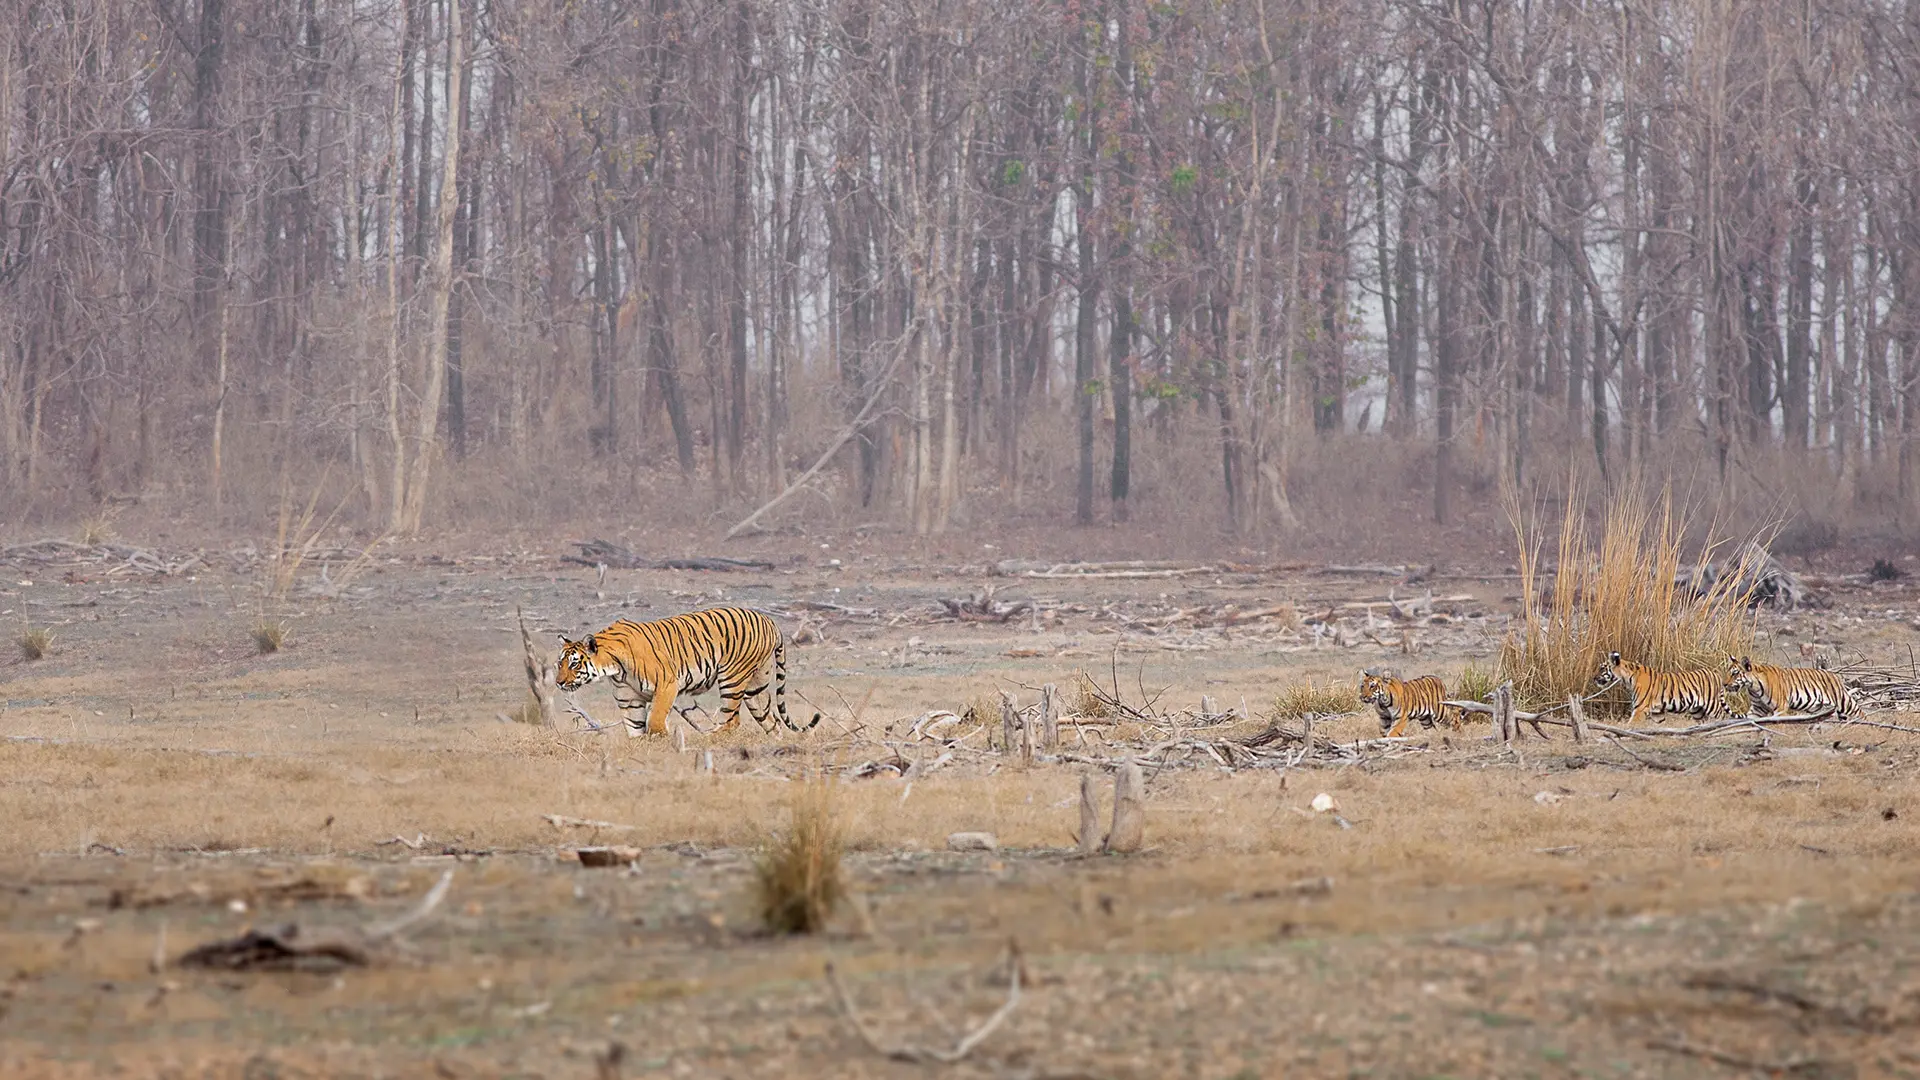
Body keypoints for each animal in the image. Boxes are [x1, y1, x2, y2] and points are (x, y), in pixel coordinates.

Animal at [555, 607, 821, 737]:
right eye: (560, 664)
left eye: (574, 664)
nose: (558, 683)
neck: (614, 668)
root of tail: (769, 620)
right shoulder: (628, 700)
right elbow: (634, 729)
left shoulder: (666, 684)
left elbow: (655, 721)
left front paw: (664, 743)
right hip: (756, 687)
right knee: (772, 720)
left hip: (731, 679)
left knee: (731, 720)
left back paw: (707, 738)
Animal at [1592, 651, 1726, 725]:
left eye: (1602, 668)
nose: (1593, 678)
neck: (1627, 678)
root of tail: (1716, 673)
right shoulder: (1657, 713)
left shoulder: (1640, 709)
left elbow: (1630, 725)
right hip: (1697, 710)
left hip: (1712, 705)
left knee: (1722, 716)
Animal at [1724, 655, 1859, 721]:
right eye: (1728, 672)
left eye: (1735, 673)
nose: (1724, 684)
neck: (1753, 687)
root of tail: (1833, 674)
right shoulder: (1757, 709)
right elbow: (1749, 720)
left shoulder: (1780, 708)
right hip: (1818, 707)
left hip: (1844, 702)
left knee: (1859, 713)